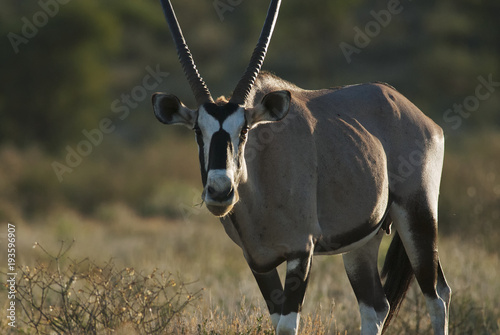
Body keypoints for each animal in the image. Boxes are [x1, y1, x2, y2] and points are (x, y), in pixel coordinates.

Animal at [151, 1, 450, 334]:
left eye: (244, 131)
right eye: (197, 131)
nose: (220, 191)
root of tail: (416, 113)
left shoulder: (300, 252)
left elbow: (287, 325)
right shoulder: (257, 261)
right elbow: (276, 320)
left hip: (418, 216)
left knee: (437, 295)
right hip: (362, 242)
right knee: (376, 307)